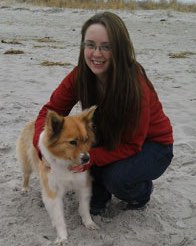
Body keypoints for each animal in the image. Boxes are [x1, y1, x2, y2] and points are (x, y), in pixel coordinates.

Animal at [16, 106, 98, 245]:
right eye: (72, 142)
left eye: (85, 139)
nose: (87, 159)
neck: (65, 163)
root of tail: (32, 121)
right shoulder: (53, 193)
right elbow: (59, 217)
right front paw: (62, 237)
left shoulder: (83, 185)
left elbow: (84, 208)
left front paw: (88, 222)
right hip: (27, 163)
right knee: (26, 174)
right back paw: (25, 187)